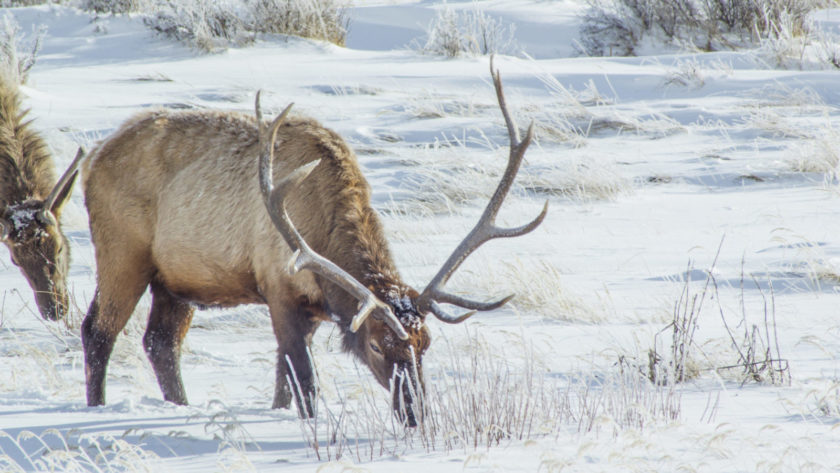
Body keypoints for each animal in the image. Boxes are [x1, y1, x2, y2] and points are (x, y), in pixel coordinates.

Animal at [82, 59, 548, 424]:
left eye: (425, 344)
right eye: (376, 345)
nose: (414, 414)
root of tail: (93, 158)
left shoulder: (309, 312)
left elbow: (283, 386)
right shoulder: (278, 291)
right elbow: (304, 385)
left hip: (176, 278)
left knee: (161, 342)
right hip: (121, 251)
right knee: (98, 332)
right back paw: (94, 409)